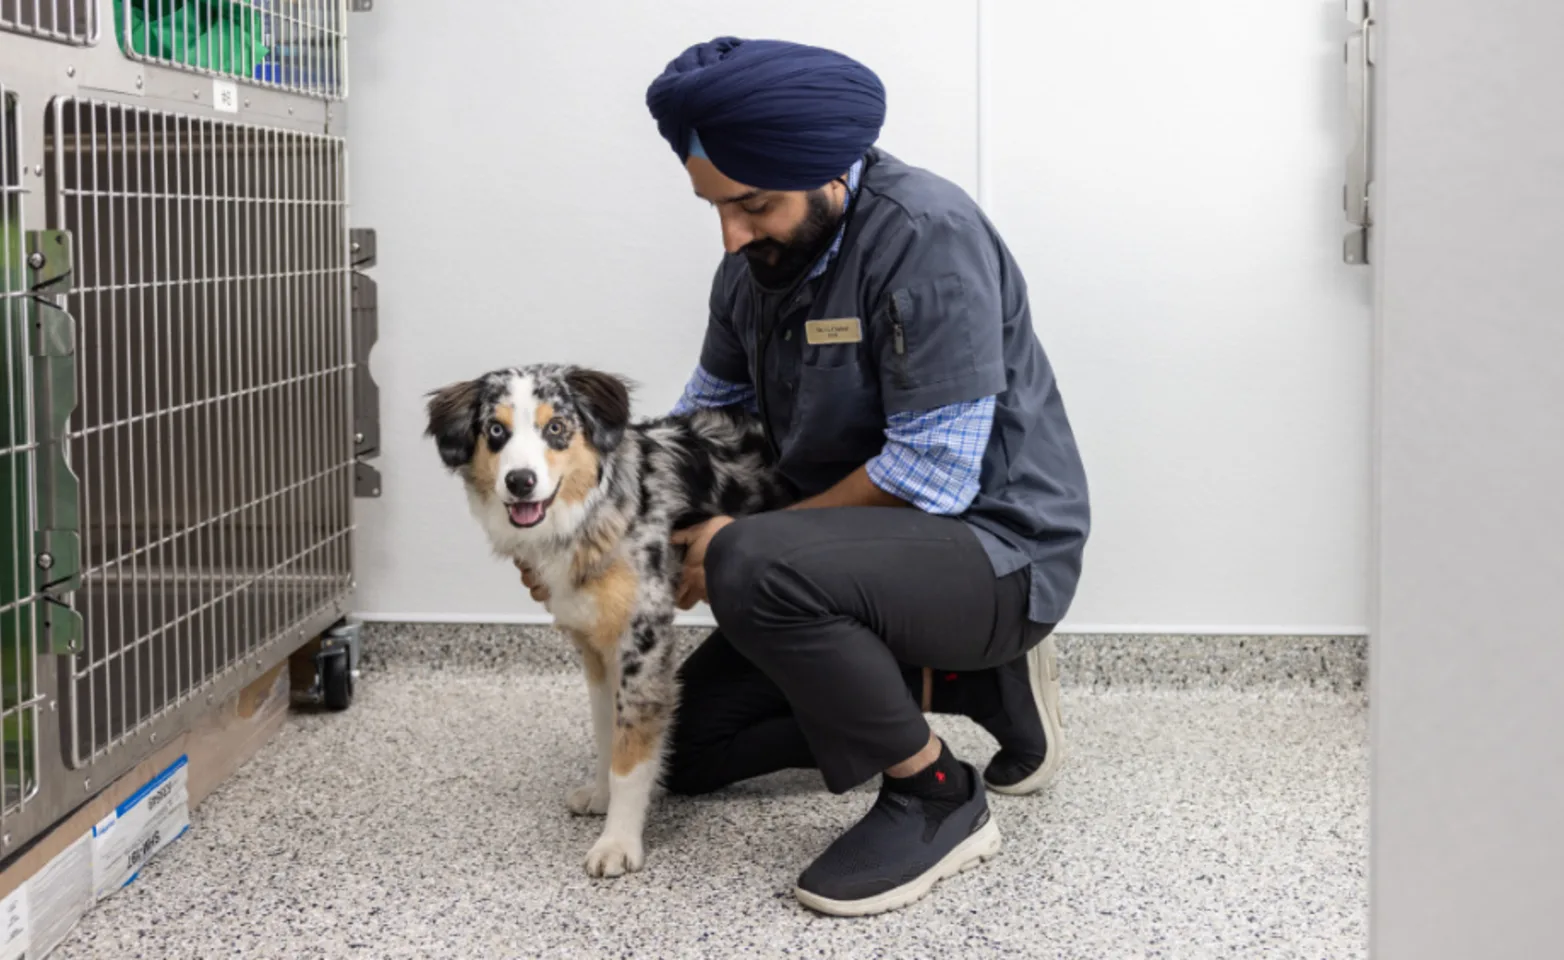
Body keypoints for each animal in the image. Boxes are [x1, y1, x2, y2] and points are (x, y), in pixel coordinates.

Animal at [428, 362, 794, 881]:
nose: (520, 481)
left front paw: (618, 842)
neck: (597, 516)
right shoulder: (596, 646)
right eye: (496, 431)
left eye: (556, 428)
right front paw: (601, 797)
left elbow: (630, 753)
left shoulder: (643, 641)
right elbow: (606, 733)